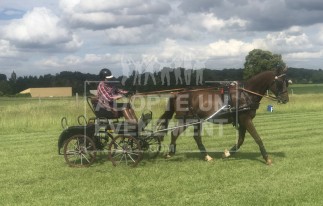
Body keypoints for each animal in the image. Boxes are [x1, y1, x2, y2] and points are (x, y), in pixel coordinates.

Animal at [157, 68, 292, 165]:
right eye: (279, 83)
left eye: (287, 82)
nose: (285, 99)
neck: (246, 94)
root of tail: (179, 93)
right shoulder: (245, 119)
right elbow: (257, 138)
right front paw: (266, 158)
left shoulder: (242, 121)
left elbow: (241, 140)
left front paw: (227, 153)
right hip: (186, 119)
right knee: (175, 133)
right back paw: (170, 153)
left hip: (196, 120)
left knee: (196, 137)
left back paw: (206, 156)